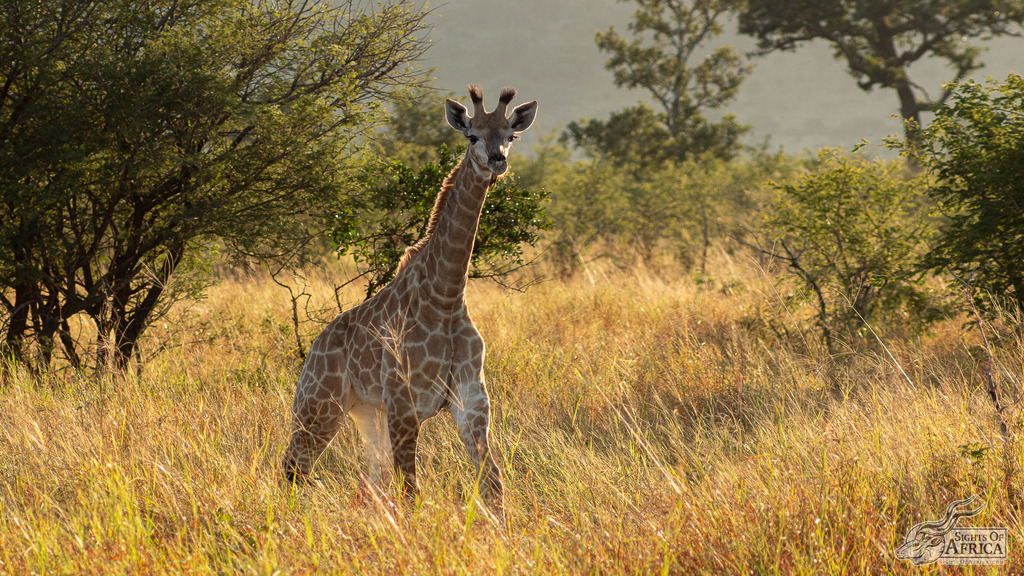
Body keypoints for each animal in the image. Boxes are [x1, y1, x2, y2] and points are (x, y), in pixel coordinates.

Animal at [282, 85, 537, 518]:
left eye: (511, 135)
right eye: (472, 135)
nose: (497, 160)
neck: (447, 295)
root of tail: (314, 347)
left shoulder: (471, 399)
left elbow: (493, 483)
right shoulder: (404, 402)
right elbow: (412, 490)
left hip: (366, 413)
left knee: (368, 479)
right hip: (319, 404)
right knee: (294, 467)